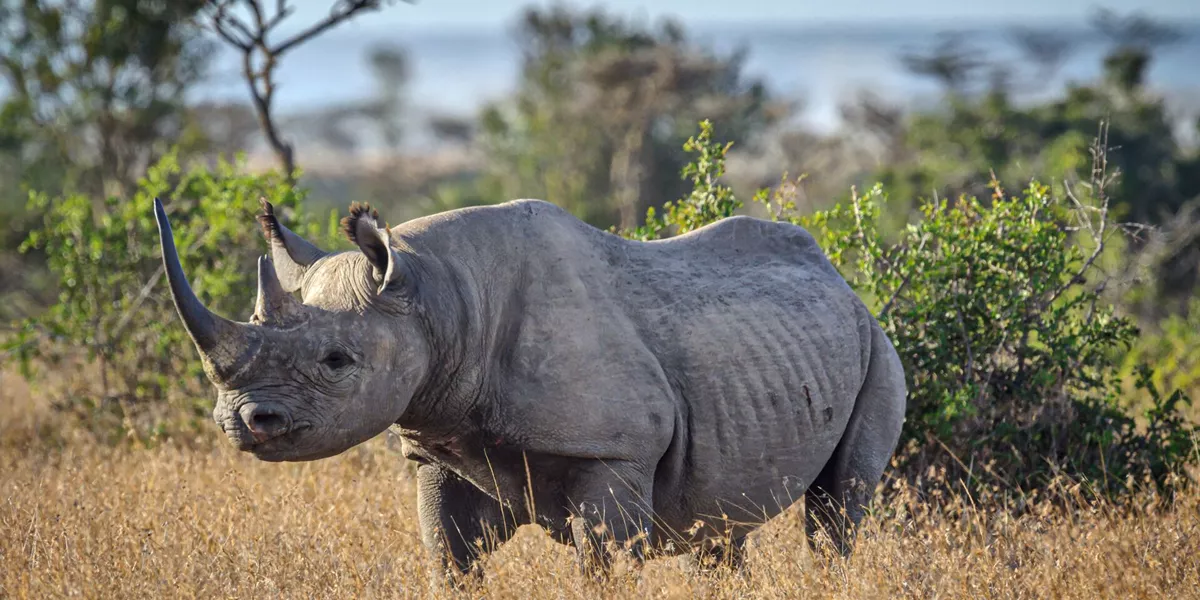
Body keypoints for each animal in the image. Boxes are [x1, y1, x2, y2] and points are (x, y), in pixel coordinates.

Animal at [152, 195, 906, 583]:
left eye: (337, 361)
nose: (243, 422)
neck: (439, 295)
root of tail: (841, 280)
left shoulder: (614, 451)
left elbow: (604, 564)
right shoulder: (441, 445)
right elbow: (449, 559)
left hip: (877, 346)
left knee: (838, 507)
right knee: (721, 531)